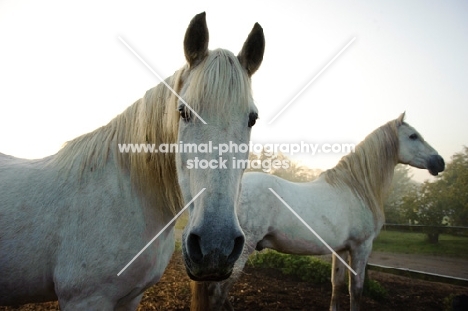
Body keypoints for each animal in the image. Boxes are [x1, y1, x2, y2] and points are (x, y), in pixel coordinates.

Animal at [0, 11, 264, 310]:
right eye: (183, 112)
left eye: (252, 119)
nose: (215, 246)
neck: (127, 196)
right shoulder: (85, 299)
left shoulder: (131, 296)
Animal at [194, 113, 446, 310]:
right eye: (413, 136)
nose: (440, 162)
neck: (354, 188)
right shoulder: (361, 247)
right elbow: (356, 290)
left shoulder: (341, 250)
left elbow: (337, 285)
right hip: (241, 251)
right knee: (218, 293)